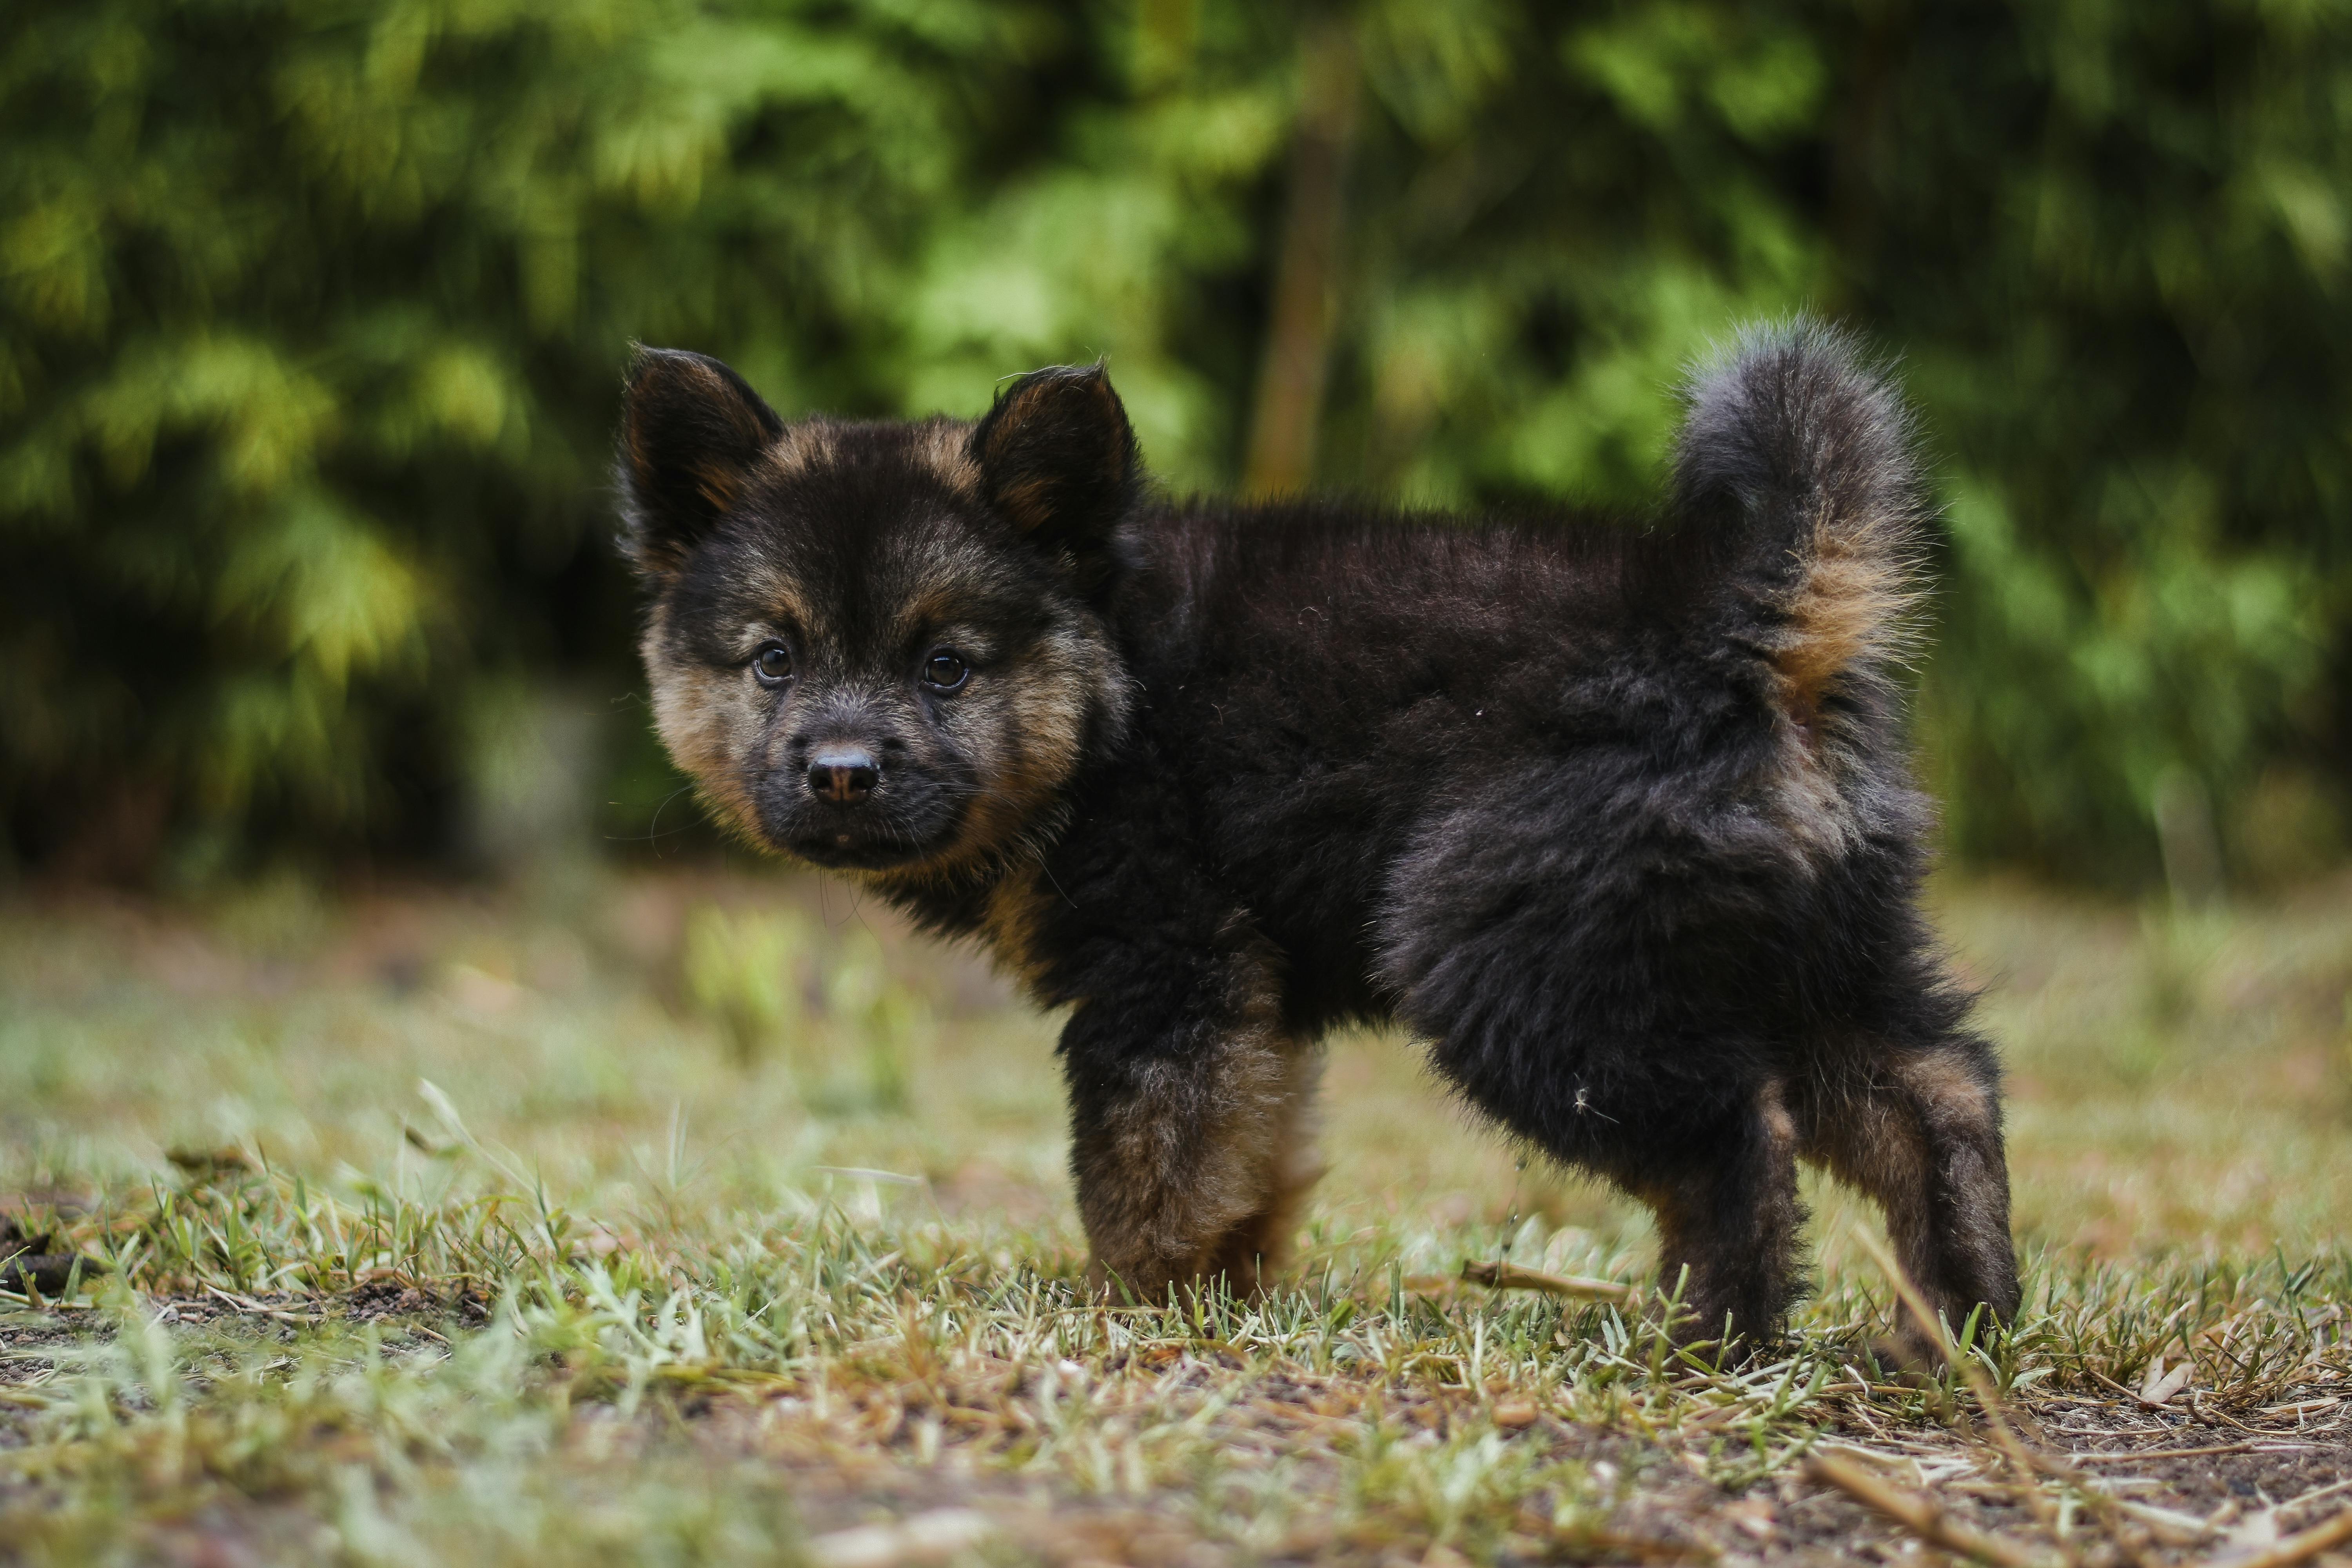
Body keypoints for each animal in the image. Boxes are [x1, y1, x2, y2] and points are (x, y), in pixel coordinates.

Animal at [621, 324, 2023, 1354]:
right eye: (773, 659)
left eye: (946, 666)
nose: (841, 772)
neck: (1113, 687)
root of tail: (1729, 624)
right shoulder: (1253, 994)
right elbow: (1249, 1156)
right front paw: (1225, 1297)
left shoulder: (1170, 970)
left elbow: (1145, 1162)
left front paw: (1130, 1313)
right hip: (1791, 944)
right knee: (1937, 1089)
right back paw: (1956, 1323)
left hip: (1514, 969)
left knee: (1738, 1135)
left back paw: (1711, 1339)